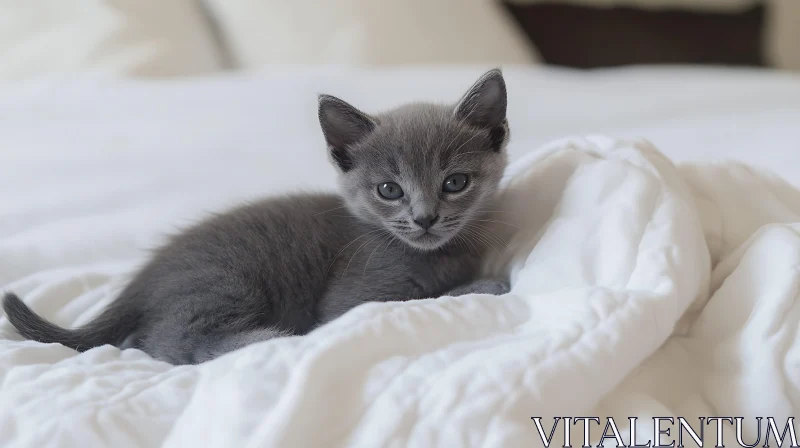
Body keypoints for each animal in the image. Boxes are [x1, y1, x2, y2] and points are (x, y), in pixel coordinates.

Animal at [1, 69, 506, 364]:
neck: (432, 253)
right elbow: (417, 300)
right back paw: (274, 336)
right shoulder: (355, 296)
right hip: (224, 280)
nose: (424, 218)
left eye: (455, 183)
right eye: (389, 190)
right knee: (171, 340)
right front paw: (485, 284)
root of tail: (142, 277)